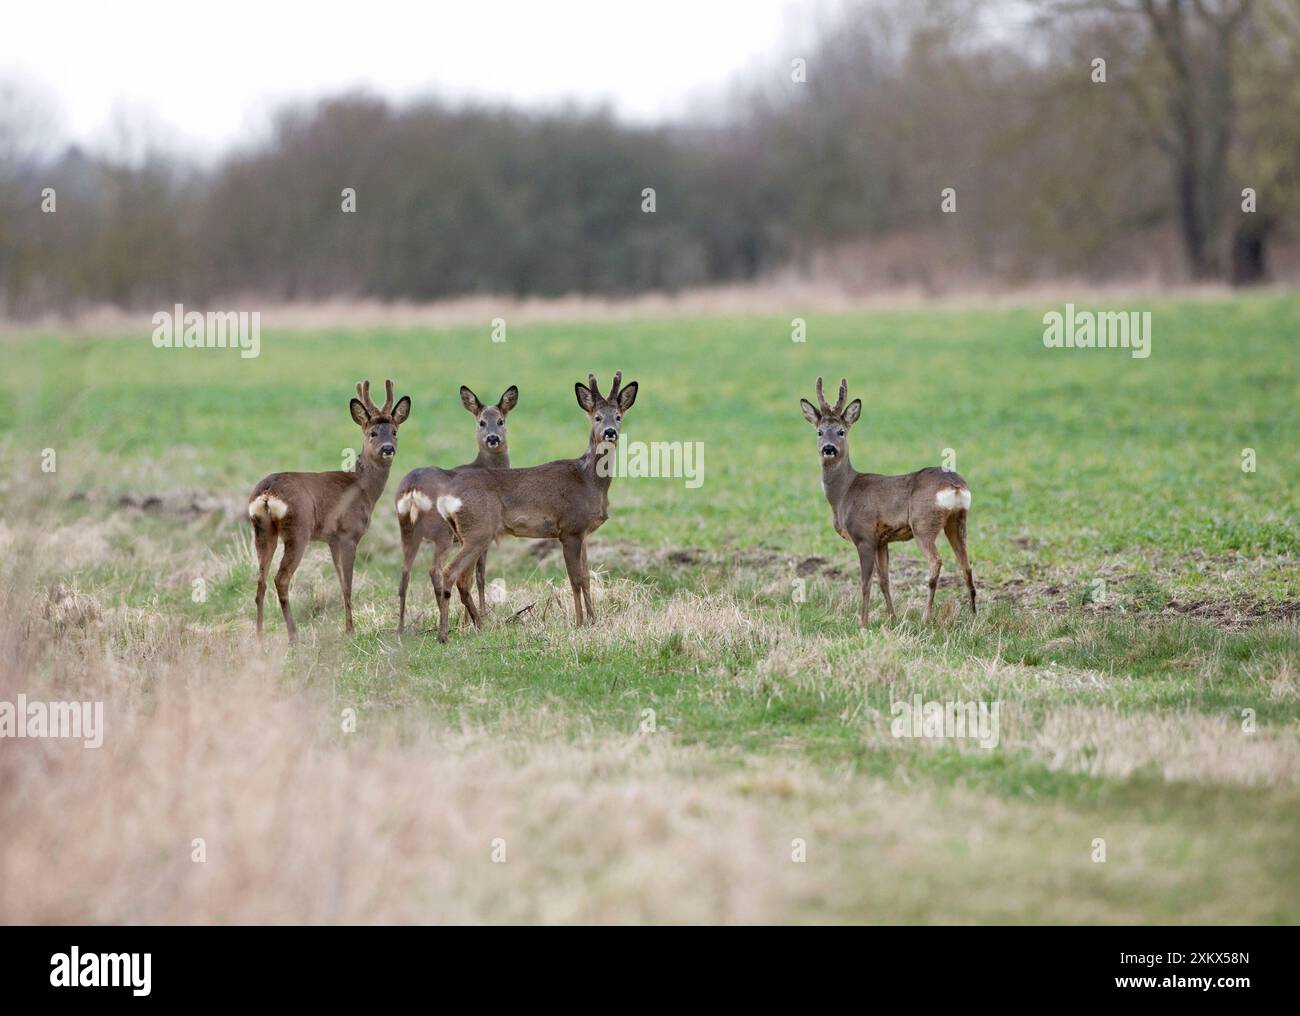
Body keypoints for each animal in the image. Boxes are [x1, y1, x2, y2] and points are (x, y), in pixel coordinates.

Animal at [248, 376, 410, 641]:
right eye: (373, 433)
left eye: (395, 431)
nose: (388, 448)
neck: (364, 487)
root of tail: (267, 493)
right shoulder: (349, 534)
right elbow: (348, 584)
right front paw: (350, 629)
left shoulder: (332, 539)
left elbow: (340, 580)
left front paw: (348, 626)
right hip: (298, 530)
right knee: (280, 578)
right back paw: (294, 635)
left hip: (262, 529)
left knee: (260, 579)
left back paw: (260, 636)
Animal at [392, 384, 520, 636]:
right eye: (481, 422)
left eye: (501, 420)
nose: (493, 438)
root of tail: (412, 488)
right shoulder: (480, 537)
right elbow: (479, 577)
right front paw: (474, 619)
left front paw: (467, 621)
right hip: (441, 532)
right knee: (436, 571)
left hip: (407, 529)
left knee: (404, 573)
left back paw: (402, 629)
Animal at [428, 374, 637, 644]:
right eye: (597, 417)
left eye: (618, 416)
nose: (610, 432)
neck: (589, 481)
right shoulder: (569, 529)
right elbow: (575, 580)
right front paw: (579, 623)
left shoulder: (583, 533)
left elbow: (587, 577)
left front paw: (593, 621)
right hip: (477, 531)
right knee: (449, 572)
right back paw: (444, 634)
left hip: (470, 535)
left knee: (461, 577)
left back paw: (478, 625)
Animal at [800, 376, 977, 623]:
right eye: (819, 432)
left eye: (841, 431)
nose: (828, 448)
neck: (843, 494)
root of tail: (956, 486)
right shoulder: (882, 540)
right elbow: (884, 580)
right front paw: (892, 618)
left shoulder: (864, 535)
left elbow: (866, 582)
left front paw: (863, 622)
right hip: (958, 520)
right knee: (966, 564)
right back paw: (974, 615)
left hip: (923, 522)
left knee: (936, 561)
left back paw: (926, 617)